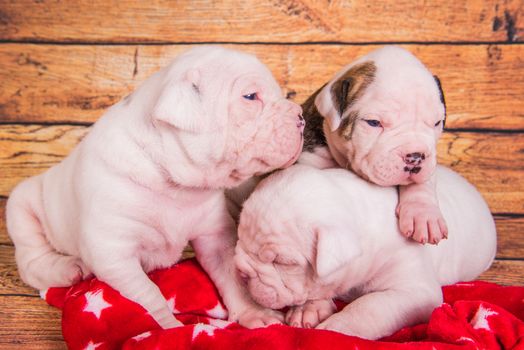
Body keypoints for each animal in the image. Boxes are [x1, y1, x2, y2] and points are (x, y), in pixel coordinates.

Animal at [6, 45, 304, 328]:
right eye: (250, 97)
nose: (301, 116)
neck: (171, 182)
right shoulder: (114, 253)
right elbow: (148, 296)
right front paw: (168, 327)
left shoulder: (215, 235)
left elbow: (231, 275)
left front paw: (253, 313)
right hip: (21, 205)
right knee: (31, 261)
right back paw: (69, 268)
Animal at [235, 165, 498, 340]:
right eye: (239, 238)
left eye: (284, 262)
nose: (242, 272)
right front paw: (308, 309)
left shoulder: (414, 290)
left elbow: (370, 307)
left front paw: (335, 328)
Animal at [300, 45, 448, 243]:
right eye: (373, 123)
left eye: (437, 123)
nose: (415, 156)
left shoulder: (430, 162)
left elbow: (424, 182)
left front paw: (424, 214)